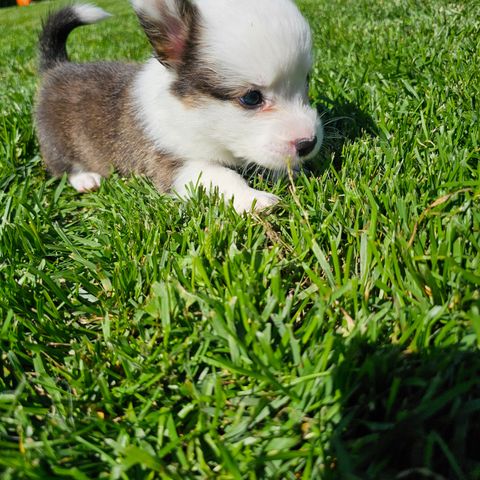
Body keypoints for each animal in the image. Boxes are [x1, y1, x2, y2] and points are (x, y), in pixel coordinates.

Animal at [35, 0, 322, 214]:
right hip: (55, 140)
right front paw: (253, 198)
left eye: (306, 80)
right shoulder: (175, 165)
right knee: (60, 166)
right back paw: (85, 179)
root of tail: (58, 67)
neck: (192, 114)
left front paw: (290, 171)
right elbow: (222, 176)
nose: (309, 143)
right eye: (251, 98)